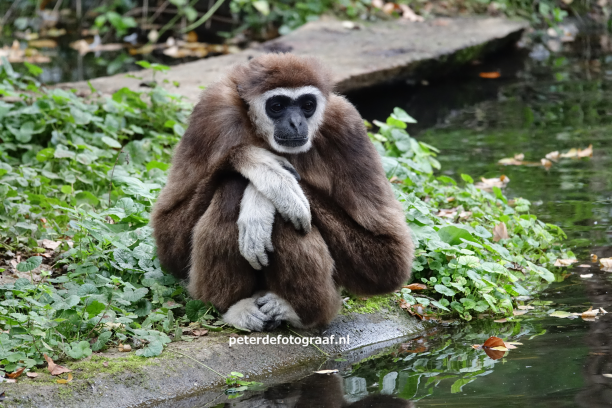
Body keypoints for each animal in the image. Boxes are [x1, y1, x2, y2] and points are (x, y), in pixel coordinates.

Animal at [151, 53, 413, 332]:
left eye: (307, 105)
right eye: (277, 106)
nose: (296, 122)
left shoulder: (347, 125)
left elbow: (389, 259)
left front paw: (262, 199)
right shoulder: (211, 112)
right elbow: (170, 244)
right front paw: (263, 168)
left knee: (284, 215)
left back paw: (297, 312)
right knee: (232, 187)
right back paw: (234, 307)